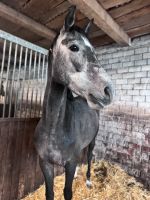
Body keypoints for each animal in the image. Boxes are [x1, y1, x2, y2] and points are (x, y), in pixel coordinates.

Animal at [34, 5, 113, 200]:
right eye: (74, 47)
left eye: (95, 52)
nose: (108, 90)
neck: (54, 128)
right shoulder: (45, 164)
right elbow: (49, 193)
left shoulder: (69, 164)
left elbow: (67, 192)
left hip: (92, 141)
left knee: (90, 156)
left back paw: (88, 180)